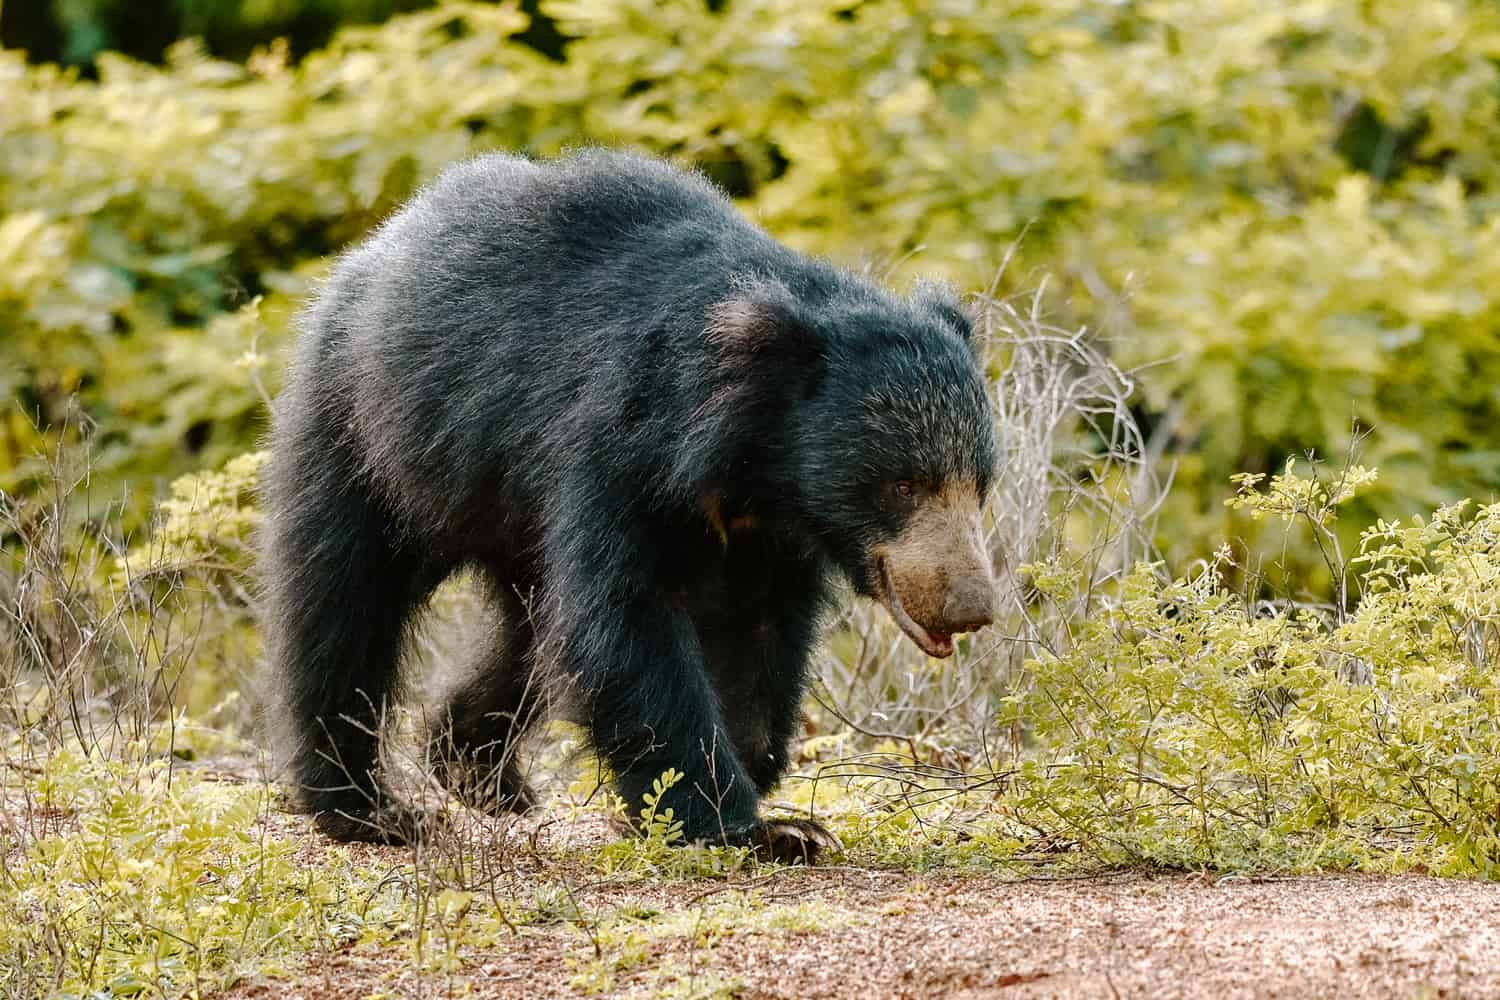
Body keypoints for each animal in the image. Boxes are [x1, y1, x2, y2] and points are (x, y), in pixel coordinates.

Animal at [267, 150, 996, 869]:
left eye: (979, 484)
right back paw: (369, 809)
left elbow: (756, 635)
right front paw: (749, 826)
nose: (970, 607)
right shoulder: (617, 451)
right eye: (903, 484)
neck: (751, 466)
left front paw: (753, 799)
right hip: (371, 436)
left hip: (506, 517)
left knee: (532, 635)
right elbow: (627, 621)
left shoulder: (767, 537)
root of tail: (372, 249)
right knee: (344, 603)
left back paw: (479, 771)